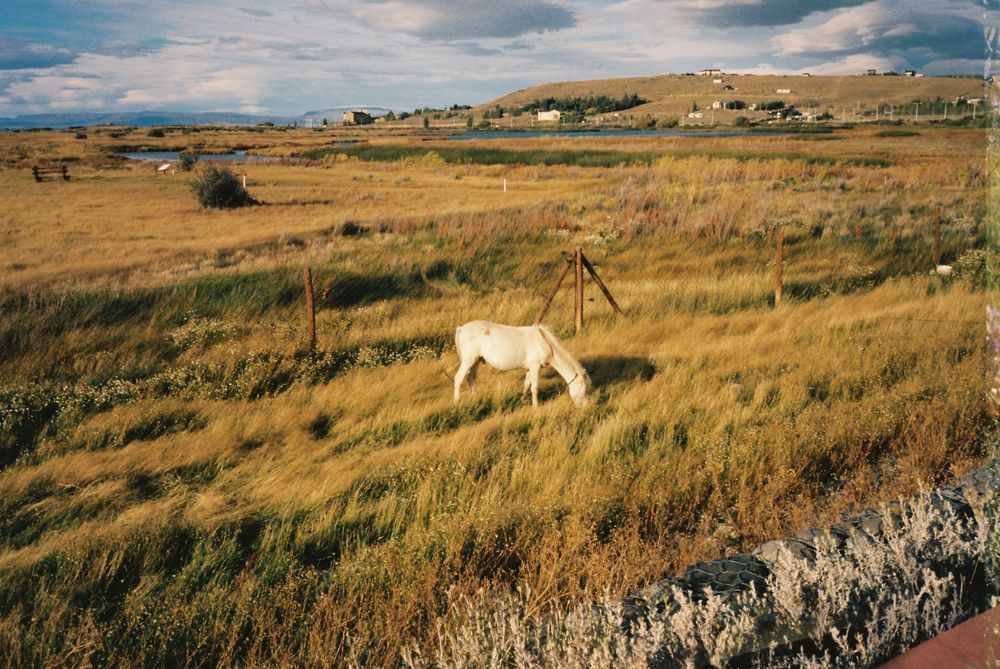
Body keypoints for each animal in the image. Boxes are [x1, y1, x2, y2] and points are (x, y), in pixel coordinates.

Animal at [453, 321, 589, 408]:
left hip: (475, 361)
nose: (584, 407)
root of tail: (461, 328)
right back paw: (457, 403)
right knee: (458, 378)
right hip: (468, 360)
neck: (545, 342)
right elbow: (534, 388)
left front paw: (523, 401)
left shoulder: (529, 368)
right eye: (584, 389)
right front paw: (535, 407)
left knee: (471, 378)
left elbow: (526, 385)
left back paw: (474, 399)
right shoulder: (535, 367)